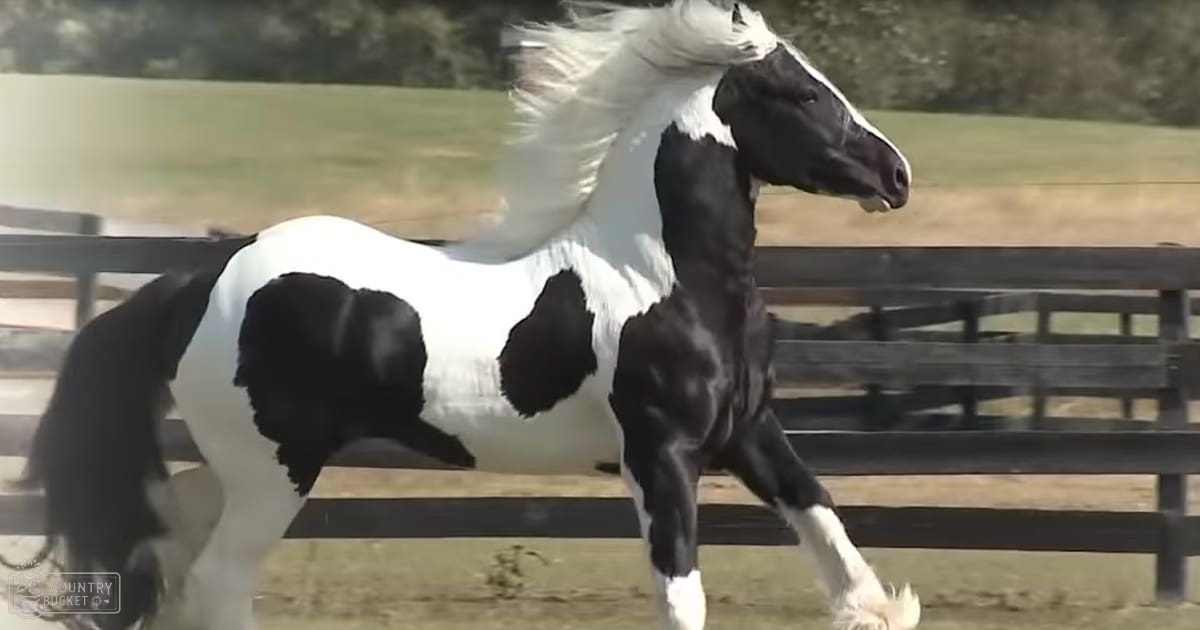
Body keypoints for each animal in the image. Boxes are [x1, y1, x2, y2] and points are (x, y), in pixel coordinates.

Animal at [13, 2, 917, 629]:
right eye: (798, 92)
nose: (897, 176)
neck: (665, 279)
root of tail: (201, 280)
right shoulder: (661, 455)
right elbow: (681, 593)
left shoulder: (748, 432)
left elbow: (823, 518)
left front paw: (877, 606)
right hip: (275, 468)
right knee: (217, 581)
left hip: (244, 466)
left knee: (169, 540)